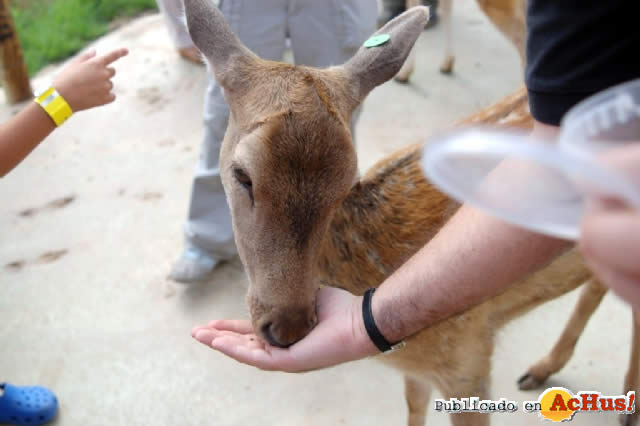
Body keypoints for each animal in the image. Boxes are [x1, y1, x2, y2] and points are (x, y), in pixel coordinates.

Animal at [181, 1, 640, 424]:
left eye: (344, 183)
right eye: (241, 174)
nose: (287, 327)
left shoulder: (468, 356)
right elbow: (414, 405)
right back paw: (545, 370)